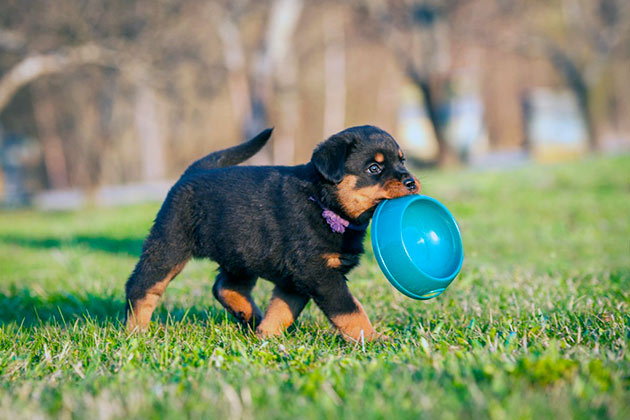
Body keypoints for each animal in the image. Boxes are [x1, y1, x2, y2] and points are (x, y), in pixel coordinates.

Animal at [124, 124, 422, 342]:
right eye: (374, 168)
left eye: (402, 161)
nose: (411, 181)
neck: (323, 202)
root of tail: (191, 172)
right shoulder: (318, 272)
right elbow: (350, 309)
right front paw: (374, 338)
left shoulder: (296, 278)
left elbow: (282, 309)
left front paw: (267, 336)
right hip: (170, 244)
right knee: (142, 286)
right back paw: (135, 331)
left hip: (240, 253)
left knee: (225, 286)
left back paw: (250, 316)